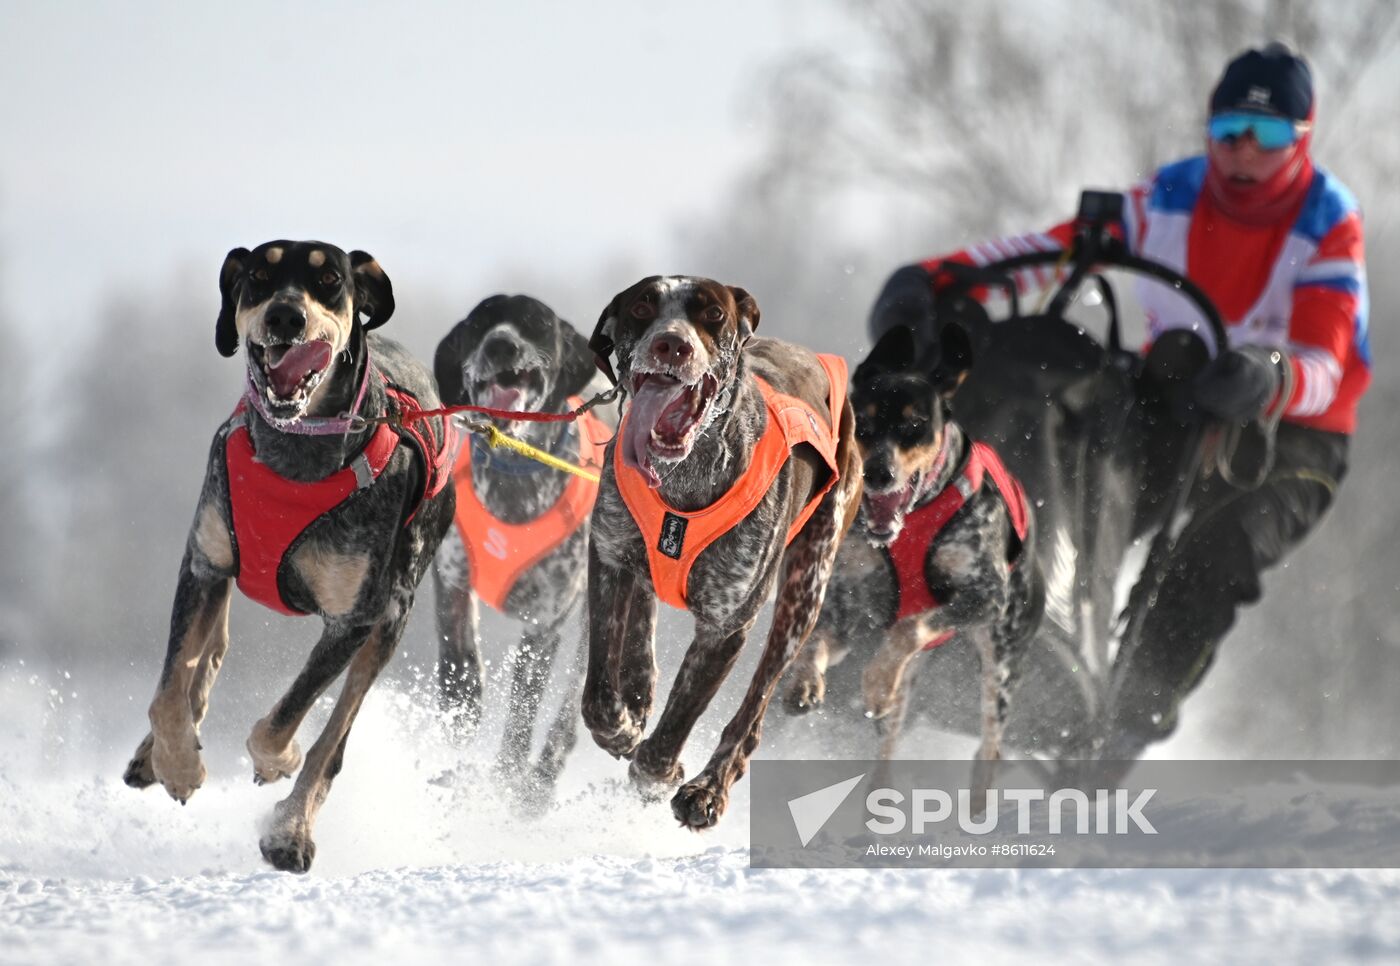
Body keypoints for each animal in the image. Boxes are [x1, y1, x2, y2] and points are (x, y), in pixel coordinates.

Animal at [121, 239, 453, 873]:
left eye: (330, 280)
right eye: (258, 275)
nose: (285, 317)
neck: (293, 455)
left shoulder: (355, 620)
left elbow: (283, 721)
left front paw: (279, 760)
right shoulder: (204, 562)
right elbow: (171, 688)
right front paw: (177, 763)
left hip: (391, 617)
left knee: (335, 737)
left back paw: (291, 830)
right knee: (209, 651)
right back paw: (158, 753)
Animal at [428, 289, 616, 800]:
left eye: (535, 323)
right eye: (479, 324)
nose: (501, 345)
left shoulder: (545, 622)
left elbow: (522, 711)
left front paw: (507, 778)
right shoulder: (452, 580)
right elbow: (459, 664)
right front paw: (460, 717)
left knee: (570, 710)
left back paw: (538, 784)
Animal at [579, 273, 862, 828]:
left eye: (712, 313)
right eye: (643, 305)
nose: (672, 344)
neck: (682, 479)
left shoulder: (727, 625)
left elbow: (680, 716)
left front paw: (662, 771)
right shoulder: (609, 554)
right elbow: (600, 692)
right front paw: (623, 723)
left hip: (804, 594)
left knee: (753, 709)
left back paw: (710, 786)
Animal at [784, 323, 1047, 806]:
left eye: (914, 426)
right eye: (864, 423)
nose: (877, 473)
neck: (910, 522)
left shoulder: (984, 595)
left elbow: (908, 627)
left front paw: (875, 681)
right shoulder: (844, 609)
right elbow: (817, 642)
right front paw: (805, 682)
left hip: (1001, 661)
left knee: (990, 742)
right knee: (890, 734)